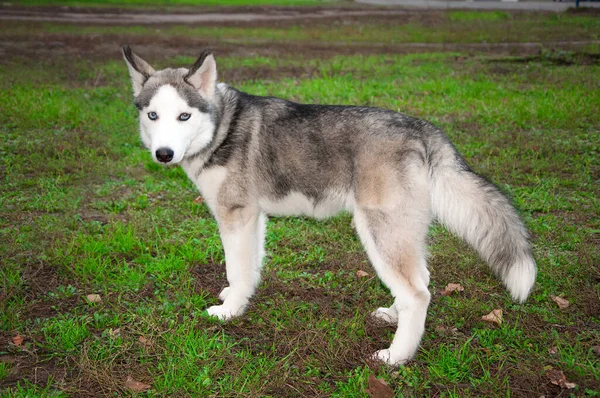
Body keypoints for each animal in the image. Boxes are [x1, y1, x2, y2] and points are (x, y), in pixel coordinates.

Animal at [123, 45, 540, 366]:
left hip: (378, 231)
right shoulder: (254, 217)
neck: (223, 127)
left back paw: (397, 357)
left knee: (418, 294)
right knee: (420, 279)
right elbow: (250, 269)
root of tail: (421, 127)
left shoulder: (235, 214)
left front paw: (229, 312)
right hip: (401, 231)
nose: (163, 154)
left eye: (184, 116)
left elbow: (236, 270)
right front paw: (238, 301)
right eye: (153, 115)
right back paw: (392, 315)